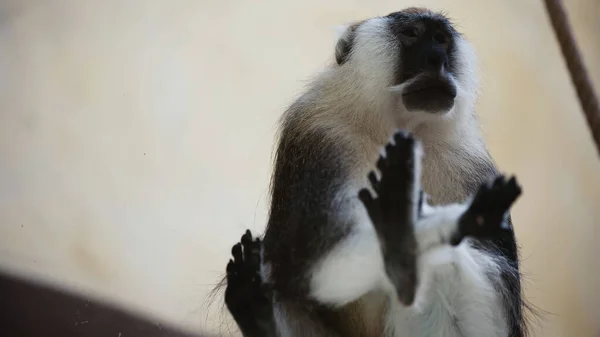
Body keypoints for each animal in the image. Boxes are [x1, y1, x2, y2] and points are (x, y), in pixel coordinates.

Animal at [219, 7, 524, 336]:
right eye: (411, 34)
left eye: (441, 40)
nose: (436, 59)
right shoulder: (322, 135)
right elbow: (317, 266)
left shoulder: (470, 163)